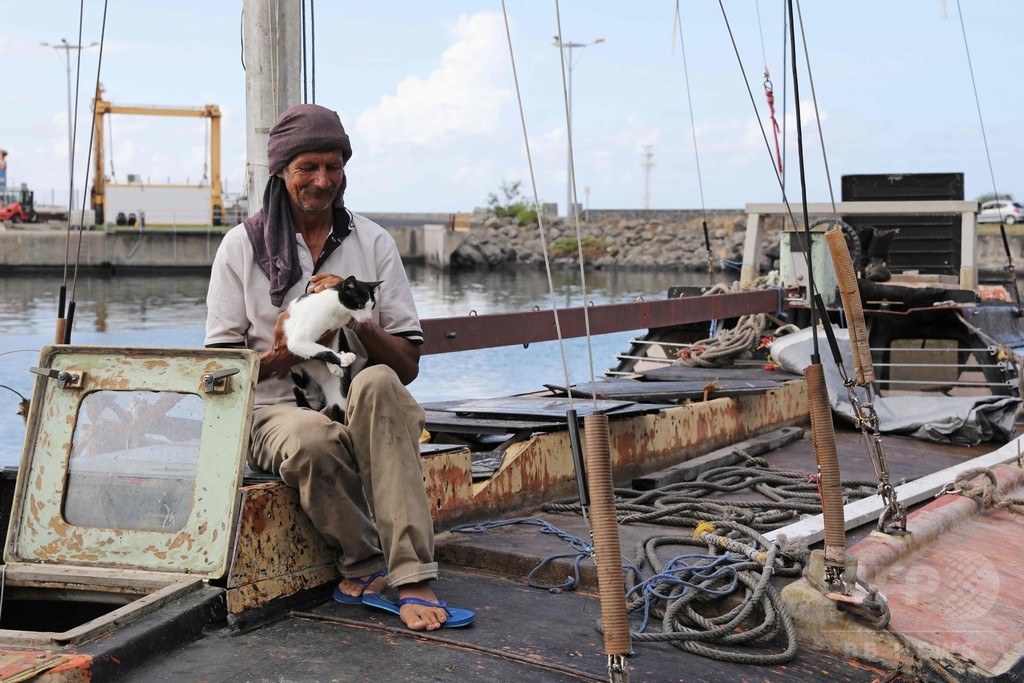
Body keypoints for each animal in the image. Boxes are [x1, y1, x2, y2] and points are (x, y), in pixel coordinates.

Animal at [286, 274, 382, 419]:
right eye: (360, 305)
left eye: (373, 306)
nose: (368, 318)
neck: (338, 312)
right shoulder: (298, 341)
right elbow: (321, 350)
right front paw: (343, 359)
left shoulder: (335, 332)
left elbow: (329, 347)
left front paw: (336, 366)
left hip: (338, 397)